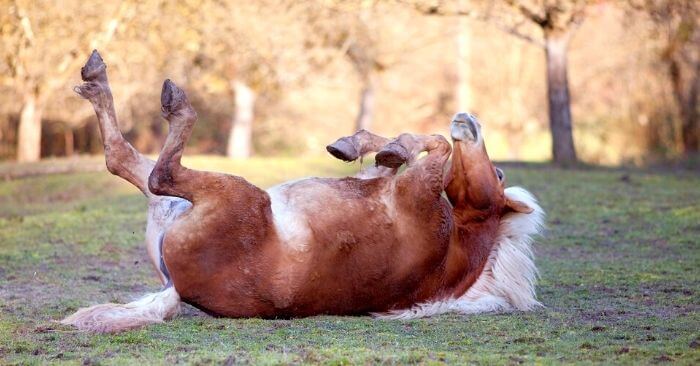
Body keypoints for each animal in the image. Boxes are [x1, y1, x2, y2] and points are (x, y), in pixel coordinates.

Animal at [60, 50, 544, 334]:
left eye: (497, 175)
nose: (469, 119)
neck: (451, 247)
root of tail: (178, 289)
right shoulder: (394, 182)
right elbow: (399, 150)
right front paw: (358, 145)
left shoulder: (417, 188)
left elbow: (436, 144)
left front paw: (392, 145)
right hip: (174, 204)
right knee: (125, 161)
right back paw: (97, 79)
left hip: (232, 193)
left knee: (154, 171)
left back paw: (169, 101)